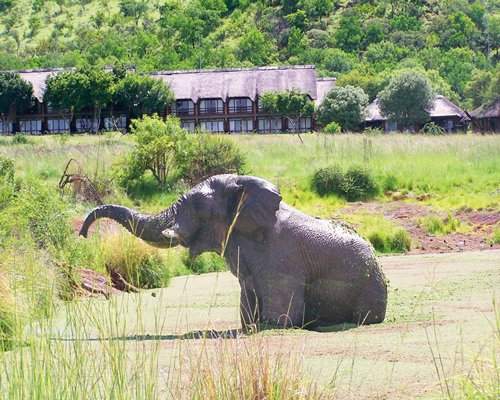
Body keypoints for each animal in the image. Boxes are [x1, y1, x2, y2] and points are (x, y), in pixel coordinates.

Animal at [80, 174, 388, 328]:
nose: (82, 234)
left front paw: (275, 326)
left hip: (371, 286)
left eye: (198, 205)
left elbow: (281, 318)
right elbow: (248, 302)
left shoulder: (283, 262)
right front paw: (249, 328)